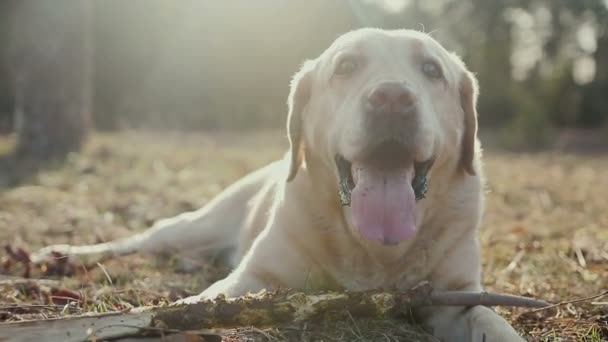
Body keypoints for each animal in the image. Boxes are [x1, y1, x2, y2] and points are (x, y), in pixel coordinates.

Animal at [34, 28, 524, 340]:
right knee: (146, 237)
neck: (373, 254)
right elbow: (204, 303)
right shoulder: (250, 279)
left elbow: (492, 323)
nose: (392, 97)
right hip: (196, 223)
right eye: (346, 65)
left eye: (431, 69)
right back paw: (63, 254)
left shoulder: (456, 295)